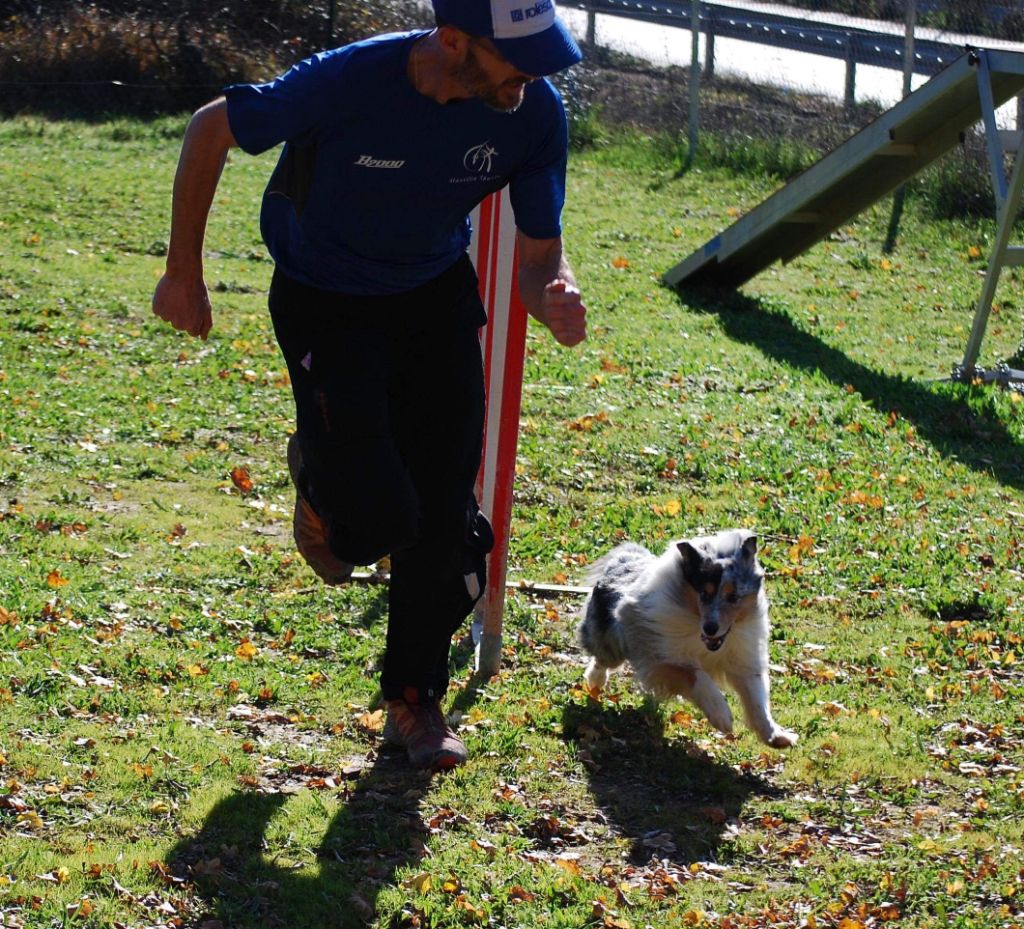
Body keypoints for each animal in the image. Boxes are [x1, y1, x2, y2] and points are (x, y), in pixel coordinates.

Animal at [577, 528, 798, 749]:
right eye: (704, 594)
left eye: (733, 597)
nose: (710, 628)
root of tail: (623, 559)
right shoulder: (659, 657)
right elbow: (696, 675)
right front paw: (722, 716)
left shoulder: (743, 658)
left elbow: (757, 700)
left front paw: (777, 736)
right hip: (611, 643)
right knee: (602, 659)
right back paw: (595, 681)